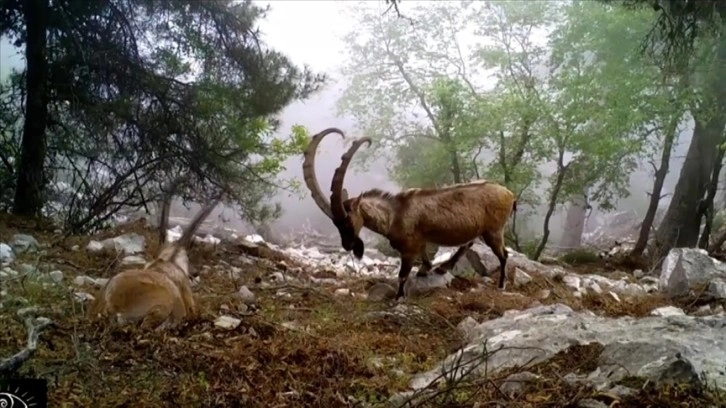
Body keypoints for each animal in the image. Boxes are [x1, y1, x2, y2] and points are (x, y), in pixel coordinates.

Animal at [304, 127, 520, 300]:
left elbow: (402, 275)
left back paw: (501, 285)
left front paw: (399, 298)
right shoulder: (420, 241)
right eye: (336, 224)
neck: (394, 214)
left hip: (494, 231)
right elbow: (424, 256)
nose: (348, 245)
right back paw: (443, 267)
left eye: (348, 221)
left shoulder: (408, 249)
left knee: (503, 254)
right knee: (469, 243)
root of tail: (510, 195)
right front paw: (426, 269)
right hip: (480, 229)